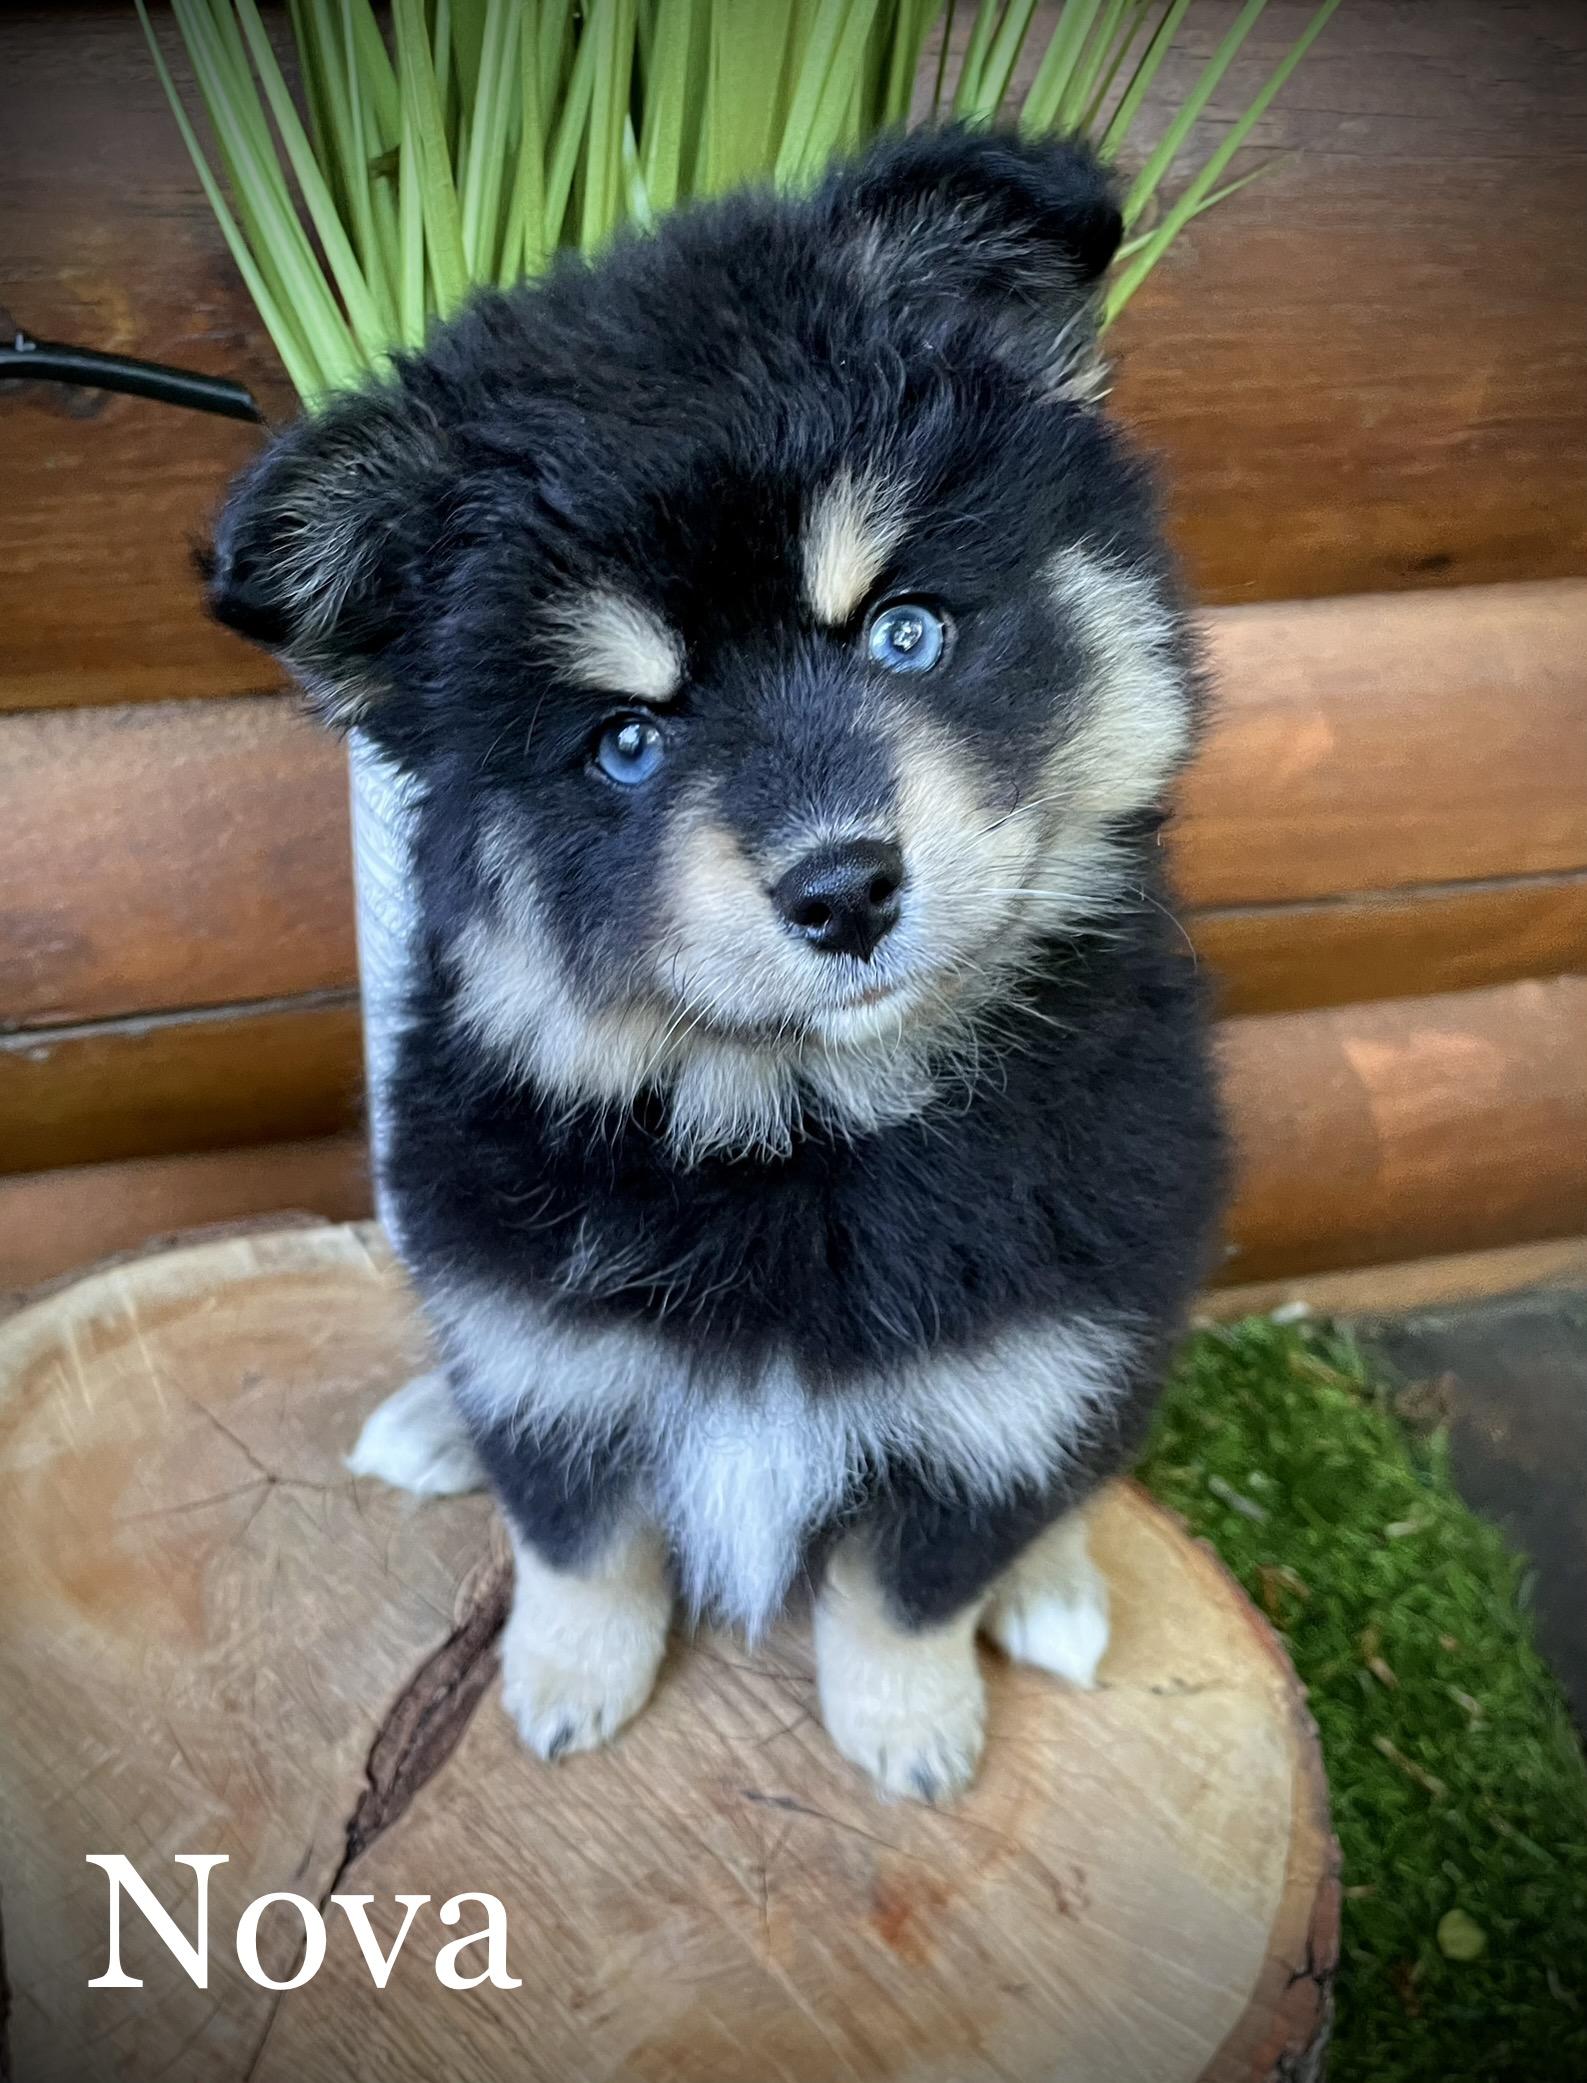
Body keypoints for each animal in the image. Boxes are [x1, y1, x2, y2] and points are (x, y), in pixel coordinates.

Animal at [207, 125, 1224, 1803]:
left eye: (904, 632)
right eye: (625, 741)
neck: (791, 1127)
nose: (840, 887)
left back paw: (1057, 1587)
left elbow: (910, 1577)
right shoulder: (539, 1340)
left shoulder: (1019, 1369)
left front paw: (909, 1731)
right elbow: (577, 1533)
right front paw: (563, 1684)